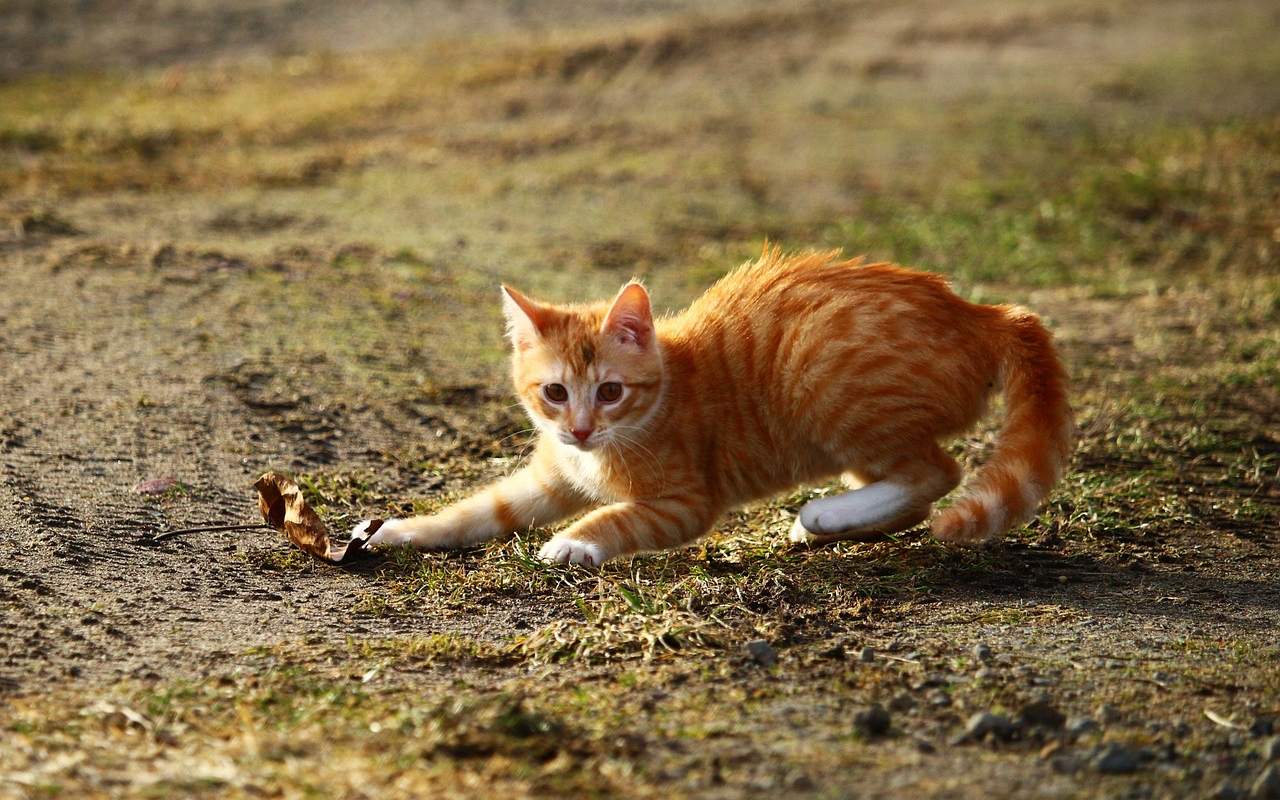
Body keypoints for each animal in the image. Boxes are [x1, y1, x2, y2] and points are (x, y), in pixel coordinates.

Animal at [350, 247, 1070, 565]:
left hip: (824, 383)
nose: (579, 429)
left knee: (937, 473)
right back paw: (833, 522)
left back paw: (823, 514)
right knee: (913, 486)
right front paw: (402, 530)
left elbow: (618, 517)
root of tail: (978, 310)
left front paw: (573, 542)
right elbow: (477, 511)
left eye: (610, 391)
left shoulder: (684, 501)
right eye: (554, 392)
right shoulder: (548, 480)